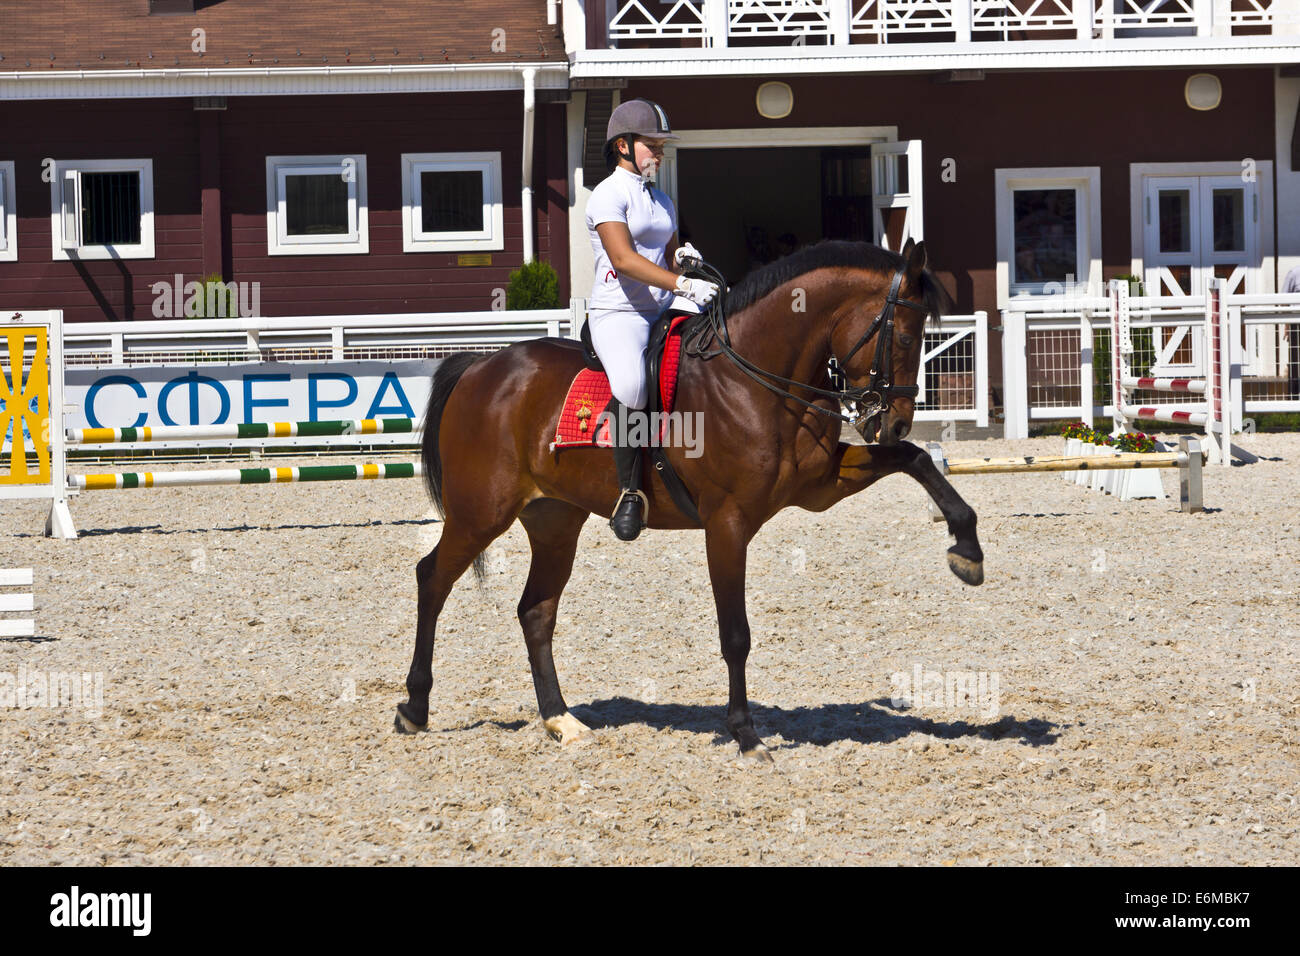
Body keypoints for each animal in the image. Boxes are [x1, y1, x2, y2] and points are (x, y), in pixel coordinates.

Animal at [395, 238, 984, 760]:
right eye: (904, 337)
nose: (893, 420)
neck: (754, 379)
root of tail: (480, 366)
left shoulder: (820, 486)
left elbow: (916, 458)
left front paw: (967, 548)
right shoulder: (727, 523)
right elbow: (735, 635)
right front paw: (746, 734)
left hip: (554, 521)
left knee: (535, 610)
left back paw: (560, 720)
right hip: (481, 514)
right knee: (432, 579)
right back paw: (414, 709)